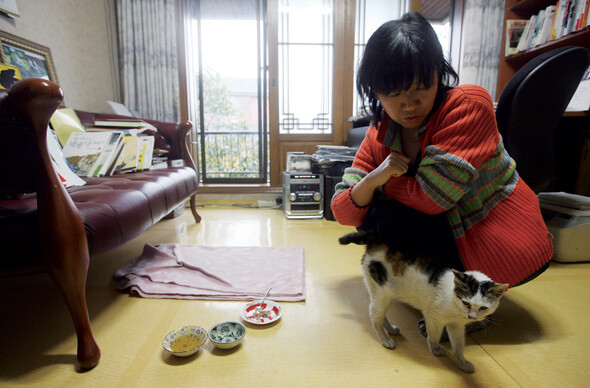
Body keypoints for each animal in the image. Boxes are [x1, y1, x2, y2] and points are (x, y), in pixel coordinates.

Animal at [340, 230, 512, 372]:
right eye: (466, 303)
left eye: (483, 308)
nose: (472, 317)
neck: (453, 300)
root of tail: (376, 239)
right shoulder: (433, 317)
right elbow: (434, 336)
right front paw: (435, 350)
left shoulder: (456, 325)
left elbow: (459, 345)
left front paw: (462, 363)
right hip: (382, 294)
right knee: (374, 316)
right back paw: (385, 340)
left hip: (385, 295)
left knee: (381, 316)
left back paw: (390, 330)